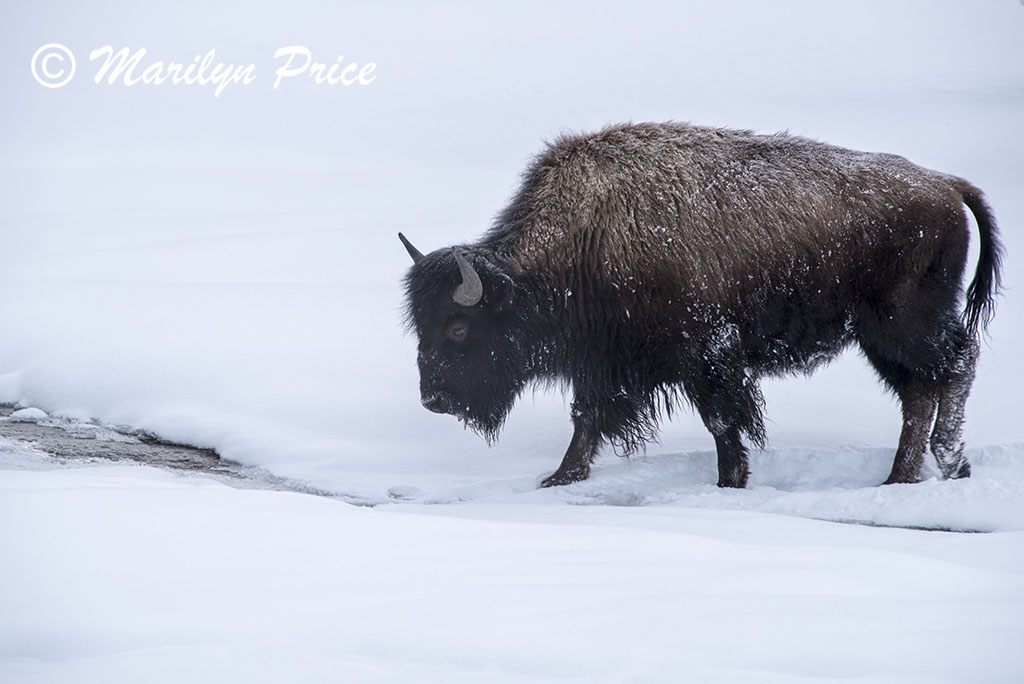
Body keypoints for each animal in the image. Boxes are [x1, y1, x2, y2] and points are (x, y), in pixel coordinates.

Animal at [400, 122, 1001, 488]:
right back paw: (901, 476)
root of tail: (947, 186)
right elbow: (586, 418)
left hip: (904, 322)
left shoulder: (708, 357)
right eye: (419, 325)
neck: (587, 236)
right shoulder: (604, 363)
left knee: (953, 366)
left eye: (458, 327)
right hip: (878, 337)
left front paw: (730, 481)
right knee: (919, 391)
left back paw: (947, 463)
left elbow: (721, 422)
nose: (433, 399)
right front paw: (560, 478)